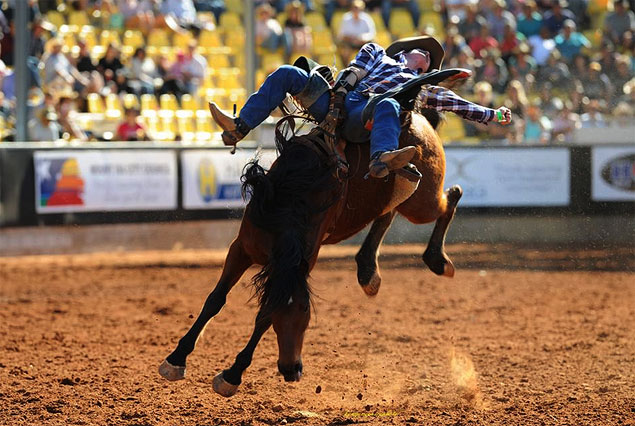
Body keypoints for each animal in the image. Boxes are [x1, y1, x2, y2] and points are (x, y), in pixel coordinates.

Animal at [159, 105, 462, 396]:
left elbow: (262, 314)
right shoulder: (241, 249)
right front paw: (176, 359)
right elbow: (215, 299)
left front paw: (232, 375)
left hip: (422, 202)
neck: (290, 204)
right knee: (390, 212)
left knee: (451, 197)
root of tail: (421, 119)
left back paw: (437, 260)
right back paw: (369, 271)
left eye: (305, 313)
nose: (292, 369)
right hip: (403, 201)